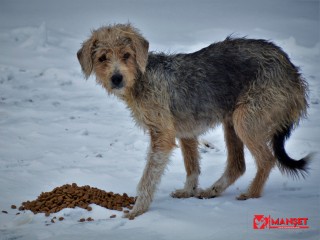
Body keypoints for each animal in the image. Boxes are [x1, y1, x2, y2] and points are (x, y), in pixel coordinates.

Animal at [77, 23, 310, 218]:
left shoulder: (163, 136)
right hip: (232, 123)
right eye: (102, 58)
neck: (143, 77)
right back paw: (212, 190)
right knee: (238, 165)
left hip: (244, 121)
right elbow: (192, 167)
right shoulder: (186, 132)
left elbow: (148, 178)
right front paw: (188, 191)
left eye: (126, 55)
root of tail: (293, 72)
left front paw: (138, 210)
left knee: (267, 159)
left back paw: (251, 195)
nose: (116, 79)